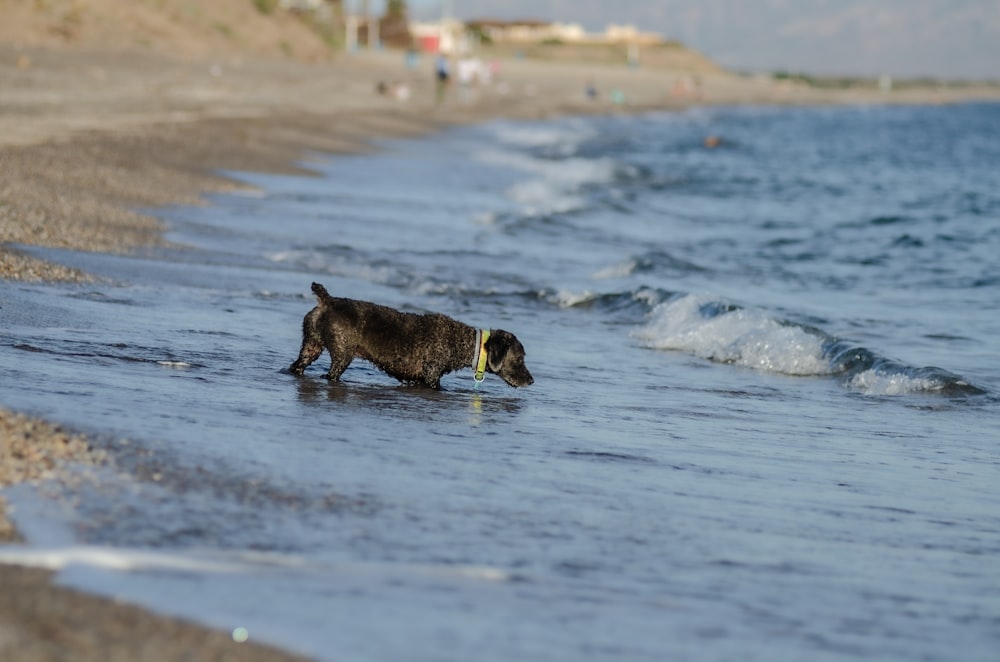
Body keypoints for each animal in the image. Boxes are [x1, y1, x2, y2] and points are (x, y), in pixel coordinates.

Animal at [292, 284, 536, 390]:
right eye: (519, 358)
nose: (531, 380)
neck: (465, 343)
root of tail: (327, 301)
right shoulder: (431, 375)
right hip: (342, 354)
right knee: (332, 374)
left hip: (311, 345)